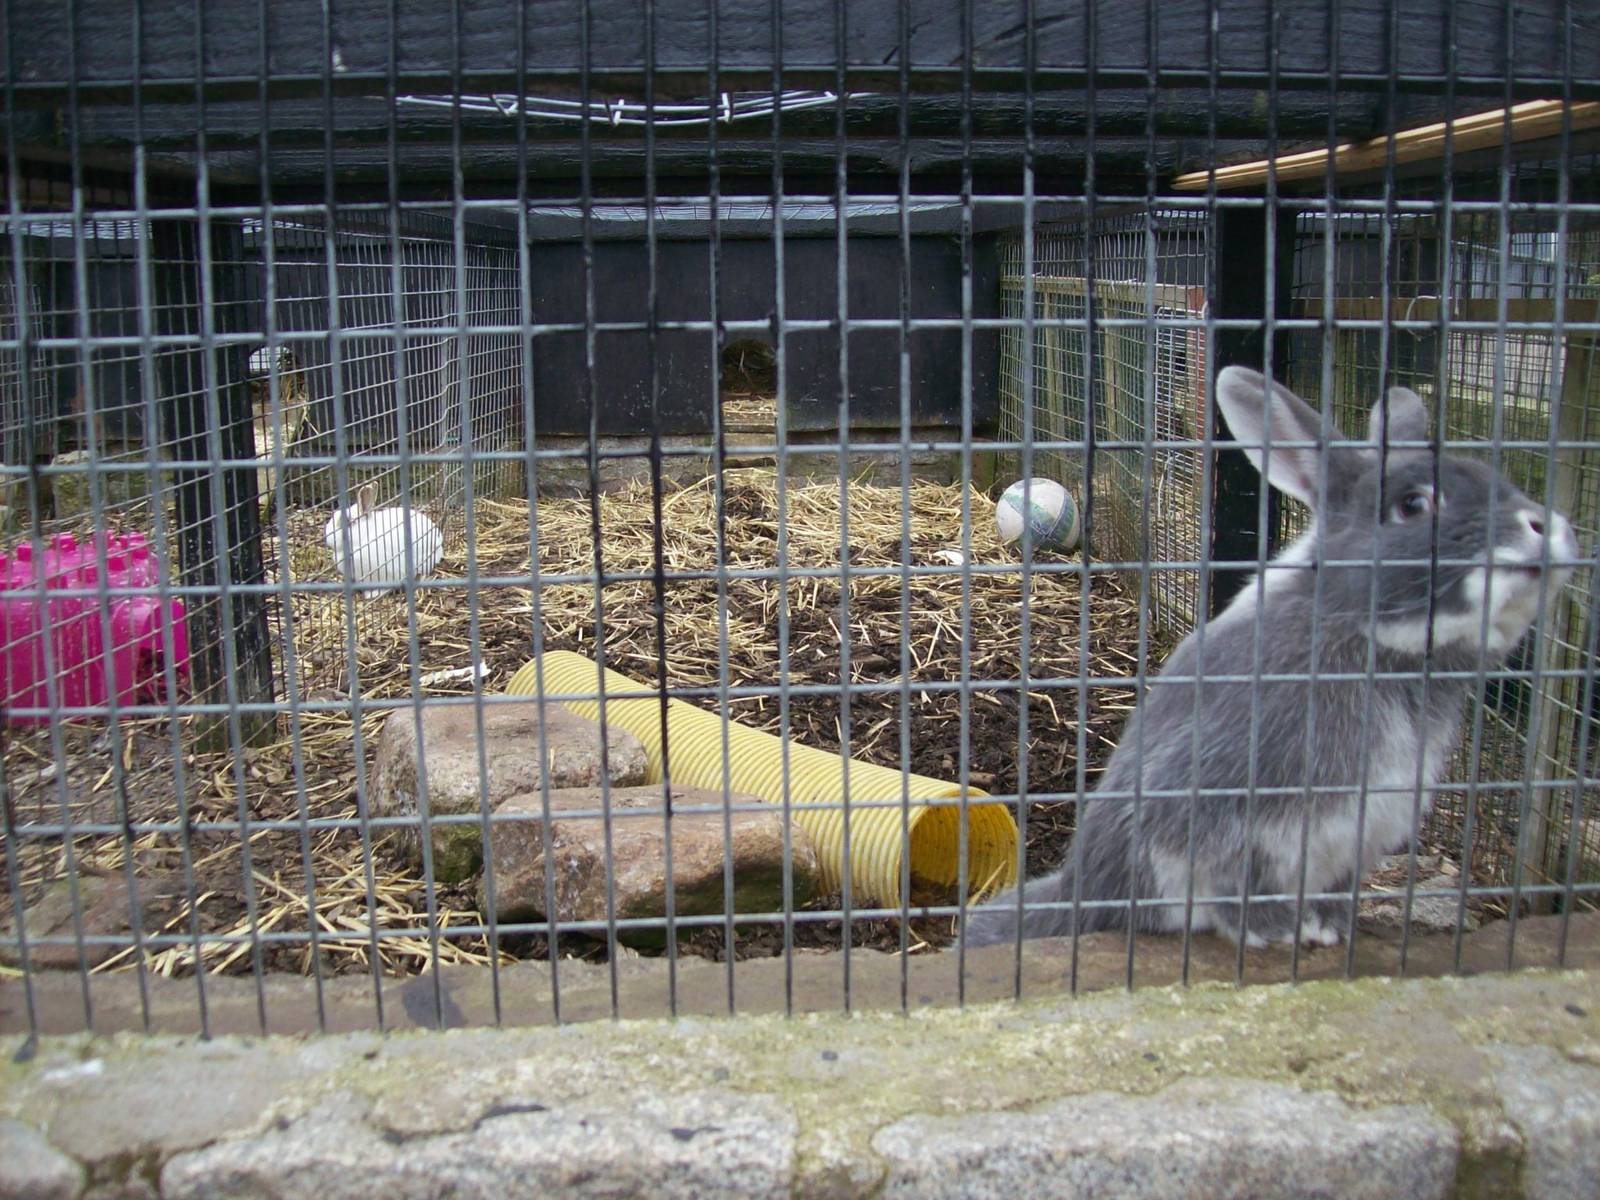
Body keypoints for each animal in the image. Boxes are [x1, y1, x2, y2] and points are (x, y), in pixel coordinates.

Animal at [965, 365, 1580, 950]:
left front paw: (1331, 929)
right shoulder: (1216, 810)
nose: (1547, 529)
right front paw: (1280, 931)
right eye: (1413, 505)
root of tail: (1083, 891)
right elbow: (1232, 883)